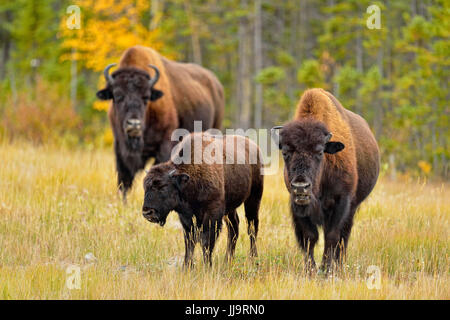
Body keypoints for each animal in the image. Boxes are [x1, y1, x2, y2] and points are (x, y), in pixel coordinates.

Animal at [95, 45, 225, 200]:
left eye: (146, 97)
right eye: (118, 95)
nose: (134, 124)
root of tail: (216, 85)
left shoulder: (164, 145)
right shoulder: (120, 148)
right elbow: (124, 181)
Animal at [270, 88, 380, 272]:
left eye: (320, 152)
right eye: (285, 152)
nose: (301, 186)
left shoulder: (342, 202)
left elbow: (332, 235)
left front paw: (327, 269)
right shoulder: (298, 205)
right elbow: (310, 237)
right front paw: (311, 270)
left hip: (353, 207)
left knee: (344, 237)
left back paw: (339, 265)